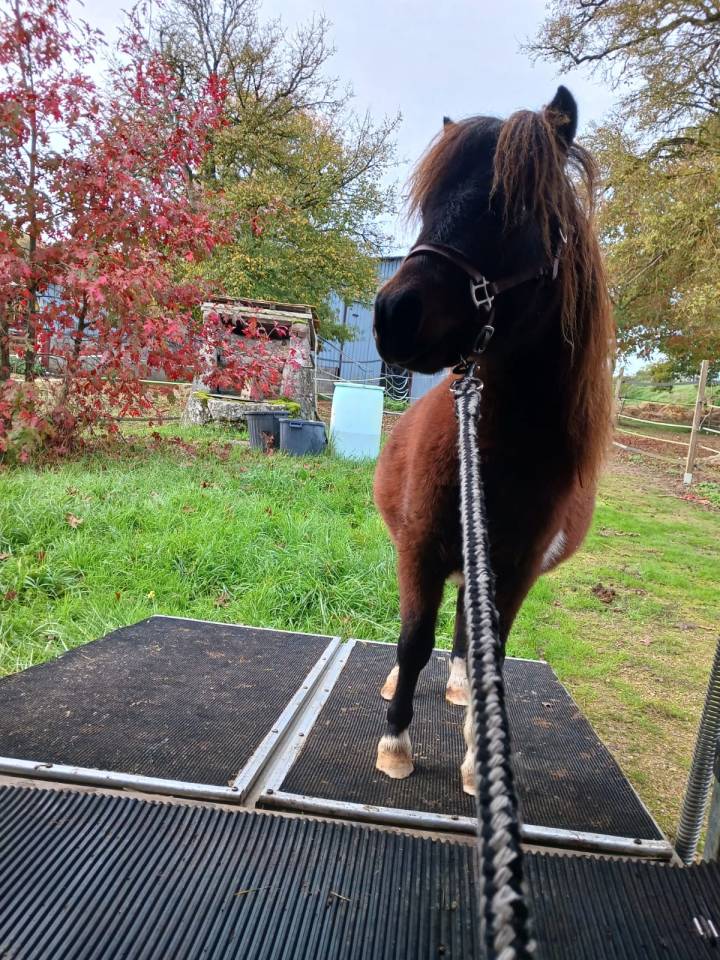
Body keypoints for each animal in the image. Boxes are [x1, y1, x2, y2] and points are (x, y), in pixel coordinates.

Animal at [371, 87, 614, 793]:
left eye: (512, 208)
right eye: (429, 207)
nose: (392, 315)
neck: (497, 457)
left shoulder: (516, 567)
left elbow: (493, 654)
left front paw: (480, 760)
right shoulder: (419, 548)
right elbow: (412, 639)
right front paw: (396, 744)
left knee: (464, 627)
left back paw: (458, 687)